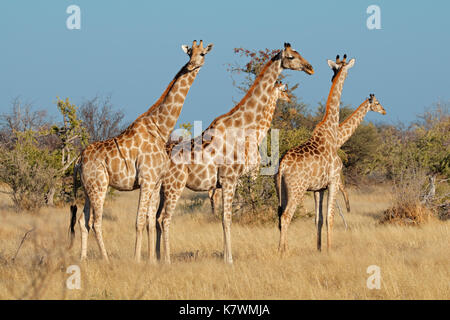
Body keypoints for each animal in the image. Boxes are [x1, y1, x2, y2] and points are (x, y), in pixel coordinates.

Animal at [68, 39, 213, 262]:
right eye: (189, 53)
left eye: (202, 53)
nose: (191, 66)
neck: (161, 128)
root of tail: (78, 161)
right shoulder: (146, 180)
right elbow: (139, 221)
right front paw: (137, 259)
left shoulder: (155, 182)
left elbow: (150, 222)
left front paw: (152, 260)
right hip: (99, 186)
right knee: (95, 222)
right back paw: (106, 259)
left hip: (87, 188)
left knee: (83, 222)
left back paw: (83, 259)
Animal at [207, 81, 292, 216]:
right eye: (283, 90)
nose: (289, 99)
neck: (256, 136)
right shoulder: (253, 170)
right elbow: (251, 193)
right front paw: (253, 212)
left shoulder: (243, 174)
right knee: (215, 195)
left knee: (211, 194)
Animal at [274, 55, 356, 254]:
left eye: (335, 69)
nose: (334, 77)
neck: (331, 131)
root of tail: (283, 165)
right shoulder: (333, 181)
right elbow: (330, 217)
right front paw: (329, 249)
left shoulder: (318, 188)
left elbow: (318, 219)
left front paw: (319, 249)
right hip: (296, 189)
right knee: (286, 216)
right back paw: (282, 252)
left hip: (281, 189)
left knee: (279, 216)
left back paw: (283, 248)